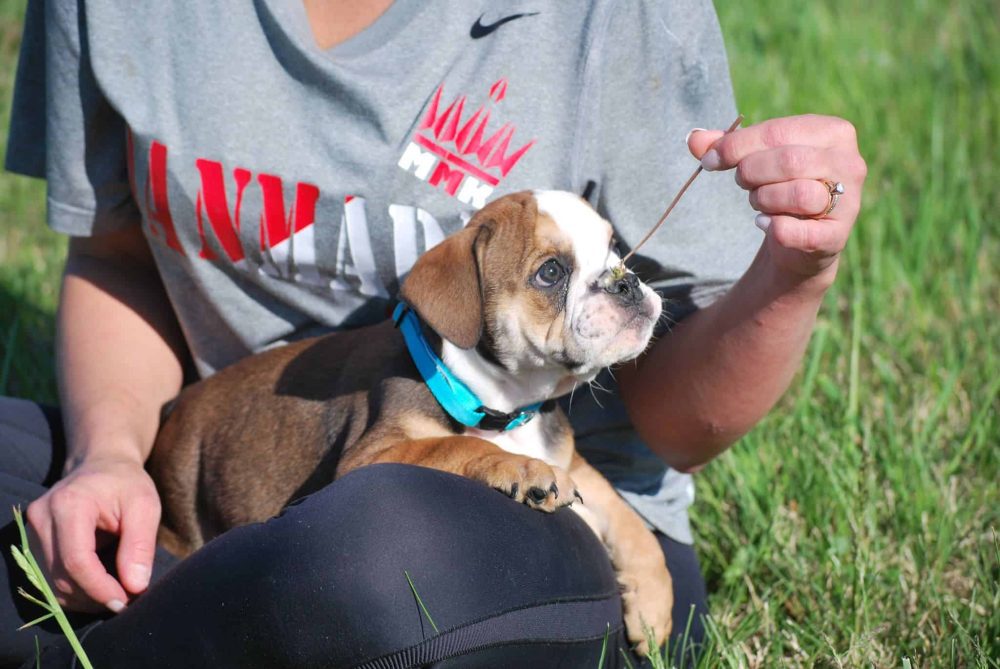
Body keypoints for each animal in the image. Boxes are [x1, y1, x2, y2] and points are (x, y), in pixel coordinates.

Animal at [148, 189, 676, 652]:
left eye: (614, 249)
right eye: (551, 272)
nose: (626, 281)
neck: (506, 403)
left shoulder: (575, 462)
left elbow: (626, 517)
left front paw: (653, 605)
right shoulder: (374, 453)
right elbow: (459, 445)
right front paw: (525, 471)